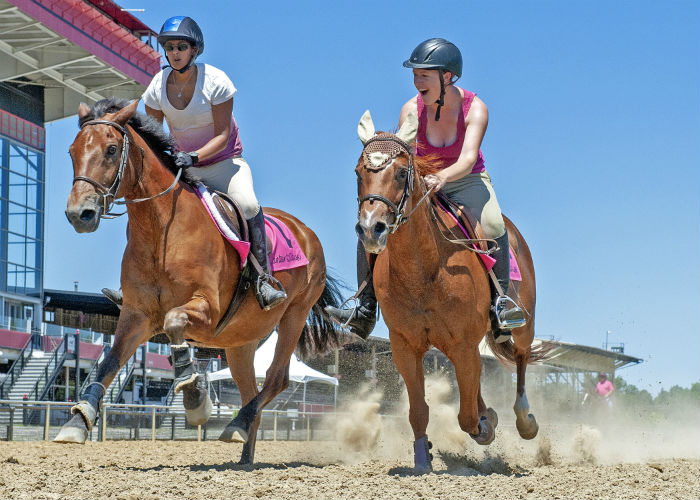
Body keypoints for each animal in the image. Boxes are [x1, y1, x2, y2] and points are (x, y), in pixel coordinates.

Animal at [56, 98, 343, 465]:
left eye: (110, 150)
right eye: (71, 151)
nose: (79, 214)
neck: (161, 230)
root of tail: (305, 232)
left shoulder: (206, 309)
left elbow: (174, 321)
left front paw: (194, 396)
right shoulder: (137, 315)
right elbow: (109, 362)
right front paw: (78, 422)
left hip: (294, 315)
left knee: (276, 378)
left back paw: (238, 425)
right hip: (240, 341)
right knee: (251, 389)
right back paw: (243, 450)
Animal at [353, 110, 549, 472]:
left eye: (401, 172)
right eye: (358, 172)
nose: (371, 228)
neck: (424, 271)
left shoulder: (462, 344)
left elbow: (467, 416)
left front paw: (486, 426)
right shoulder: (406, 347)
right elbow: (419, 411)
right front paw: (423, 459)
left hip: (520, 327)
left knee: (521, 359)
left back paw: (524, 420)